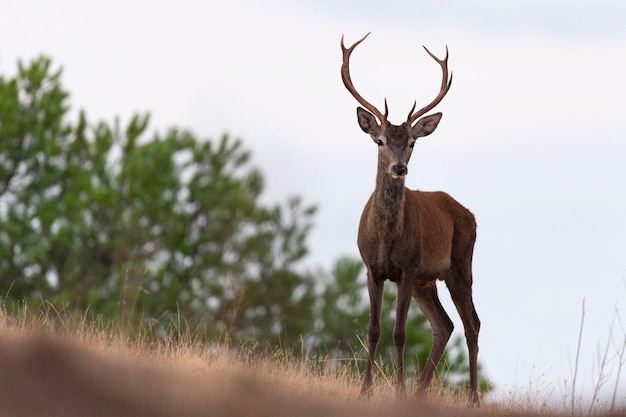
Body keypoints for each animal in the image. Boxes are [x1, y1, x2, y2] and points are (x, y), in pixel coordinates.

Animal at [342, 33, 478, 406]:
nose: (399, 168)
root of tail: (469, 213)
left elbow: (399, 332)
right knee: (444, 325)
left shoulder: (408, 267)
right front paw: (365, 390)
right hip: (426, 281)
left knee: (471, 325)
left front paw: (399, 389)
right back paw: (421, 391)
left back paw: (473, 398)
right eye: (380, 140)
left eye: (413, 142)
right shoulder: (372, 268)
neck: (386, 239)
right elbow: (374, 330)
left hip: (459, 266)